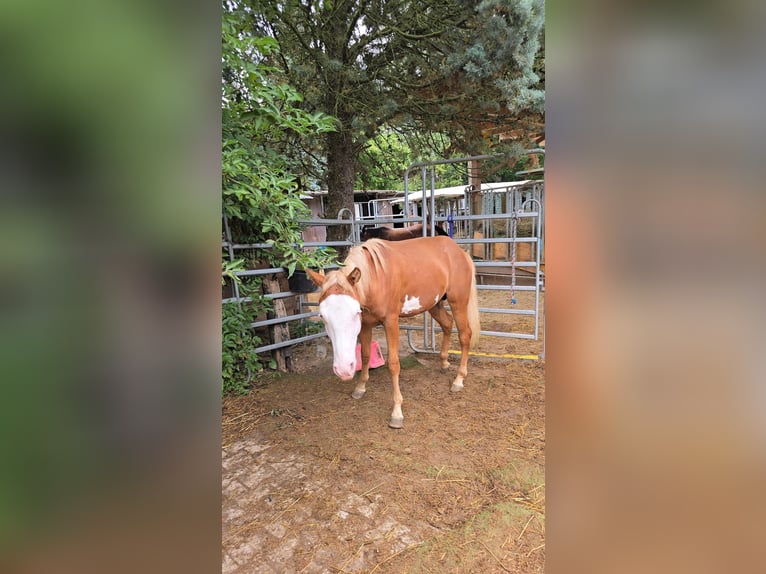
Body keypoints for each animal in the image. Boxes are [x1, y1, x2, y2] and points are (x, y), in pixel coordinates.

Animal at [306, 237, 480, 428]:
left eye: (355, 312)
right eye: (322, 316)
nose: (344, 370)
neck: (375, 278)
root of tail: (460, 252)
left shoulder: (391, 322)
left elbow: (394, 364)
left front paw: (397, 412)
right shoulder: (365, 325)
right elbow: (365, 355)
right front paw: (360, 387)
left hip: (458, 302)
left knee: (465, 335)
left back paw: (459, 379)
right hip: (435, 304)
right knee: (447, 324)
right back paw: (444, 362)